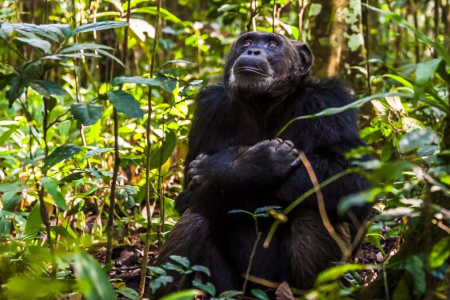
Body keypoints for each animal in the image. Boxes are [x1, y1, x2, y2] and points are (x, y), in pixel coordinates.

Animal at [153, 32, 370, 298]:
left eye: (272, 44)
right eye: (247, 42)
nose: (254, 51)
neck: (264, 105)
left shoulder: (331, 101)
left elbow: (351, 178)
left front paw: (216, 168)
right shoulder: (209, 109)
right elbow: (187, 196)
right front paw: (256, 163)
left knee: (314, 208)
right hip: (230, 286)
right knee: (194, 218)